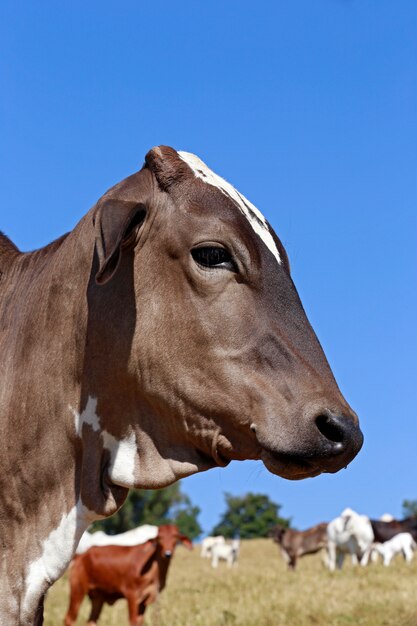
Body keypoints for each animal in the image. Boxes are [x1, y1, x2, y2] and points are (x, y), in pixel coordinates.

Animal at [63, 520, 192, 624]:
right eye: (159, 538)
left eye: (175, 537)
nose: (168, 554)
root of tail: (81, 556)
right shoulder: (132, 595)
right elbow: (133, 621)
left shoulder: (144, 600)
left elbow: (140, 622)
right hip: (78, 589)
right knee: (69, 619)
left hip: (98, 596)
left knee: (91, 621)